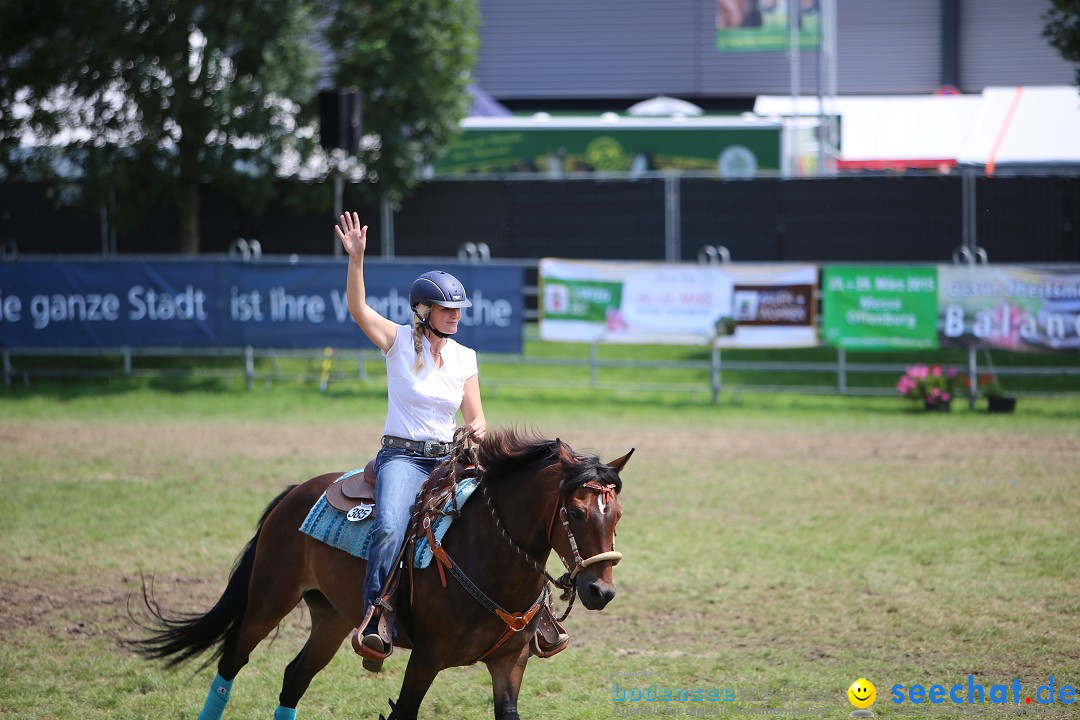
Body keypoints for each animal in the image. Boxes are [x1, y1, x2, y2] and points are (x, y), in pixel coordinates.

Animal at [133, 431, 630, 716]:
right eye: (576, 512)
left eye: (618, 514)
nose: (602, 592)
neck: (487, 554)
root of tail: (296, 492)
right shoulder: (426, 658)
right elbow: (404, 712)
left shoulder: (510, 664)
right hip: (268, 600)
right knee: (232, 661)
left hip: (332, 617)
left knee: (295, 676)